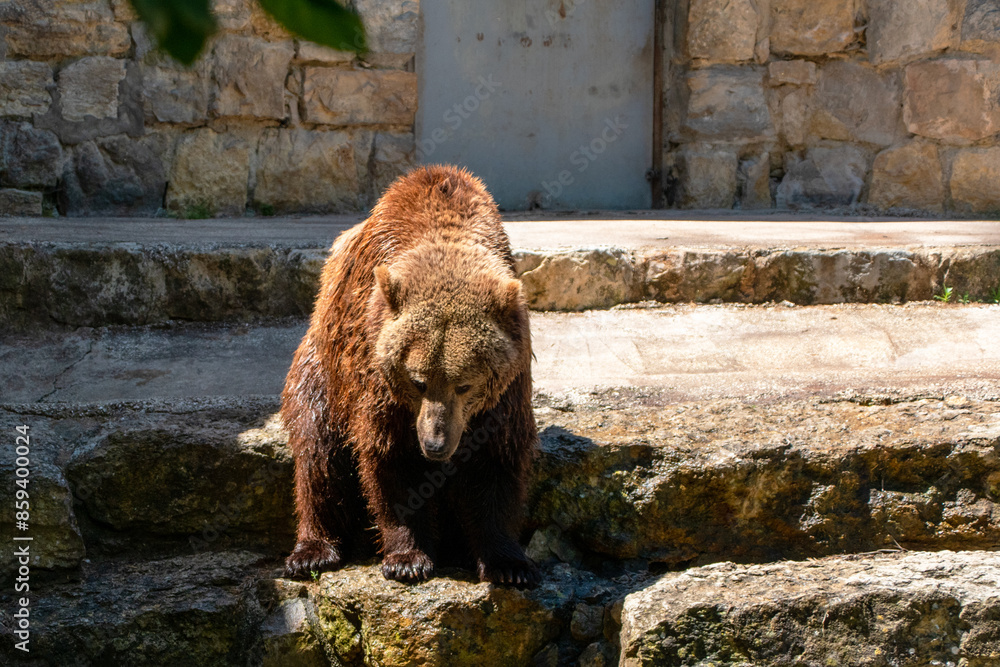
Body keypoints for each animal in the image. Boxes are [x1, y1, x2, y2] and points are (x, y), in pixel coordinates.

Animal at [281, 164, 540, 587]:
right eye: (418, 380)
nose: (435, 444)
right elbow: (391, 458)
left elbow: (495, 460)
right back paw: (312, 551)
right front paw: (407, 559)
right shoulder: (375, 374)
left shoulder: (506, 390)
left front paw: (509, 564)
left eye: (464, 383)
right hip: (321, 370)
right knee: (318, 453)